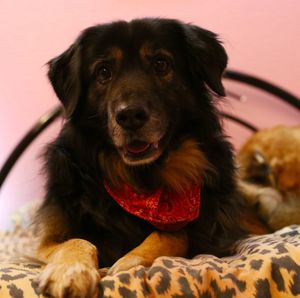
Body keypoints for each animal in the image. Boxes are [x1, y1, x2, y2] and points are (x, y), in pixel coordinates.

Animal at [34, 18, 251, 298]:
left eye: (161, 63)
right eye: (103, 71)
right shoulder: (48, 237)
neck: (139, 180)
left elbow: (173, 234)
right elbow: (76, 240)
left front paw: (127, 261)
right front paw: (69, 271)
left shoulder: (214, 232)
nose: (130, 116)